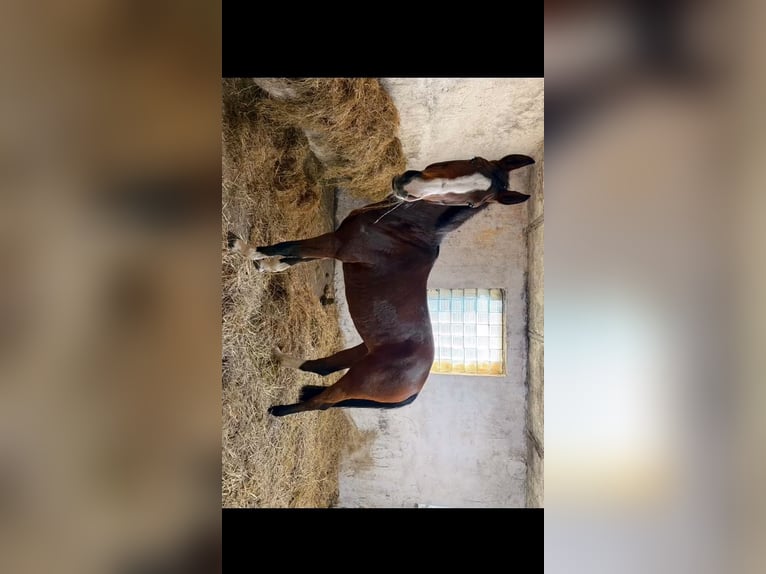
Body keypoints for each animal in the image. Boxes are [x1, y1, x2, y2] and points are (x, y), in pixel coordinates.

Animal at [228, 154, 535, 416]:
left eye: (472, 202)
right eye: (474, 160)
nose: (409, 184)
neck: (403, 229)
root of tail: (416, 386)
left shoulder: (336, 245)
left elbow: (288, 247)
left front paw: (244, 249)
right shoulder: (337, 245)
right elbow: (293, 258)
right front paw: (265, 266)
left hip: (357, 380)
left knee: (322, 402)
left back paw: (277, 411)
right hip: (361, 353)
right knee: (323, 367)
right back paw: (278, 357)